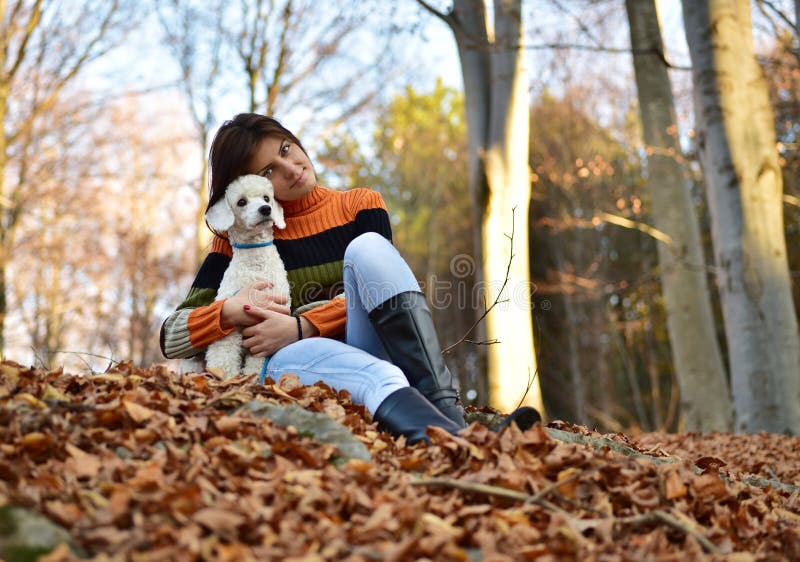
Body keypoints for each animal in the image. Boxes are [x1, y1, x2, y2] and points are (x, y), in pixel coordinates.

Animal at [203, 173, 294, 378]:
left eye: (266, 198)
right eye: (241, 202)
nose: (266, 209)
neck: (256, 265)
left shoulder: (266, 325)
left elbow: (257, 364)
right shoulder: (229, 326)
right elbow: (224, 358)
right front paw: (226, 380)